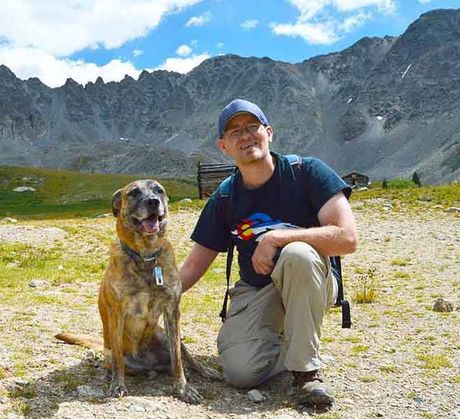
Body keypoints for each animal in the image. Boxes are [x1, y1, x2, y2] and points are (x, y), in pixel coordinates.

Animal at [54, 180, 220, 404]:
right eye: (133, 193)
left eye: (159, 190)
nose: (153, 201)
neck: (146, 256)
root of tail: (149, 362)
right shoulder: (117, 313)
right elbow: (118, 362)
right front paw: (117, 385)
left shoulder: (172, 311)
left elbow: (178, 361)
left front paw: (183, 388)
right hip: (113, 353)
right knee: (118, 363)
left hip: (166, 336)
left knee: (183, 358)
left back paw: (204, 371)